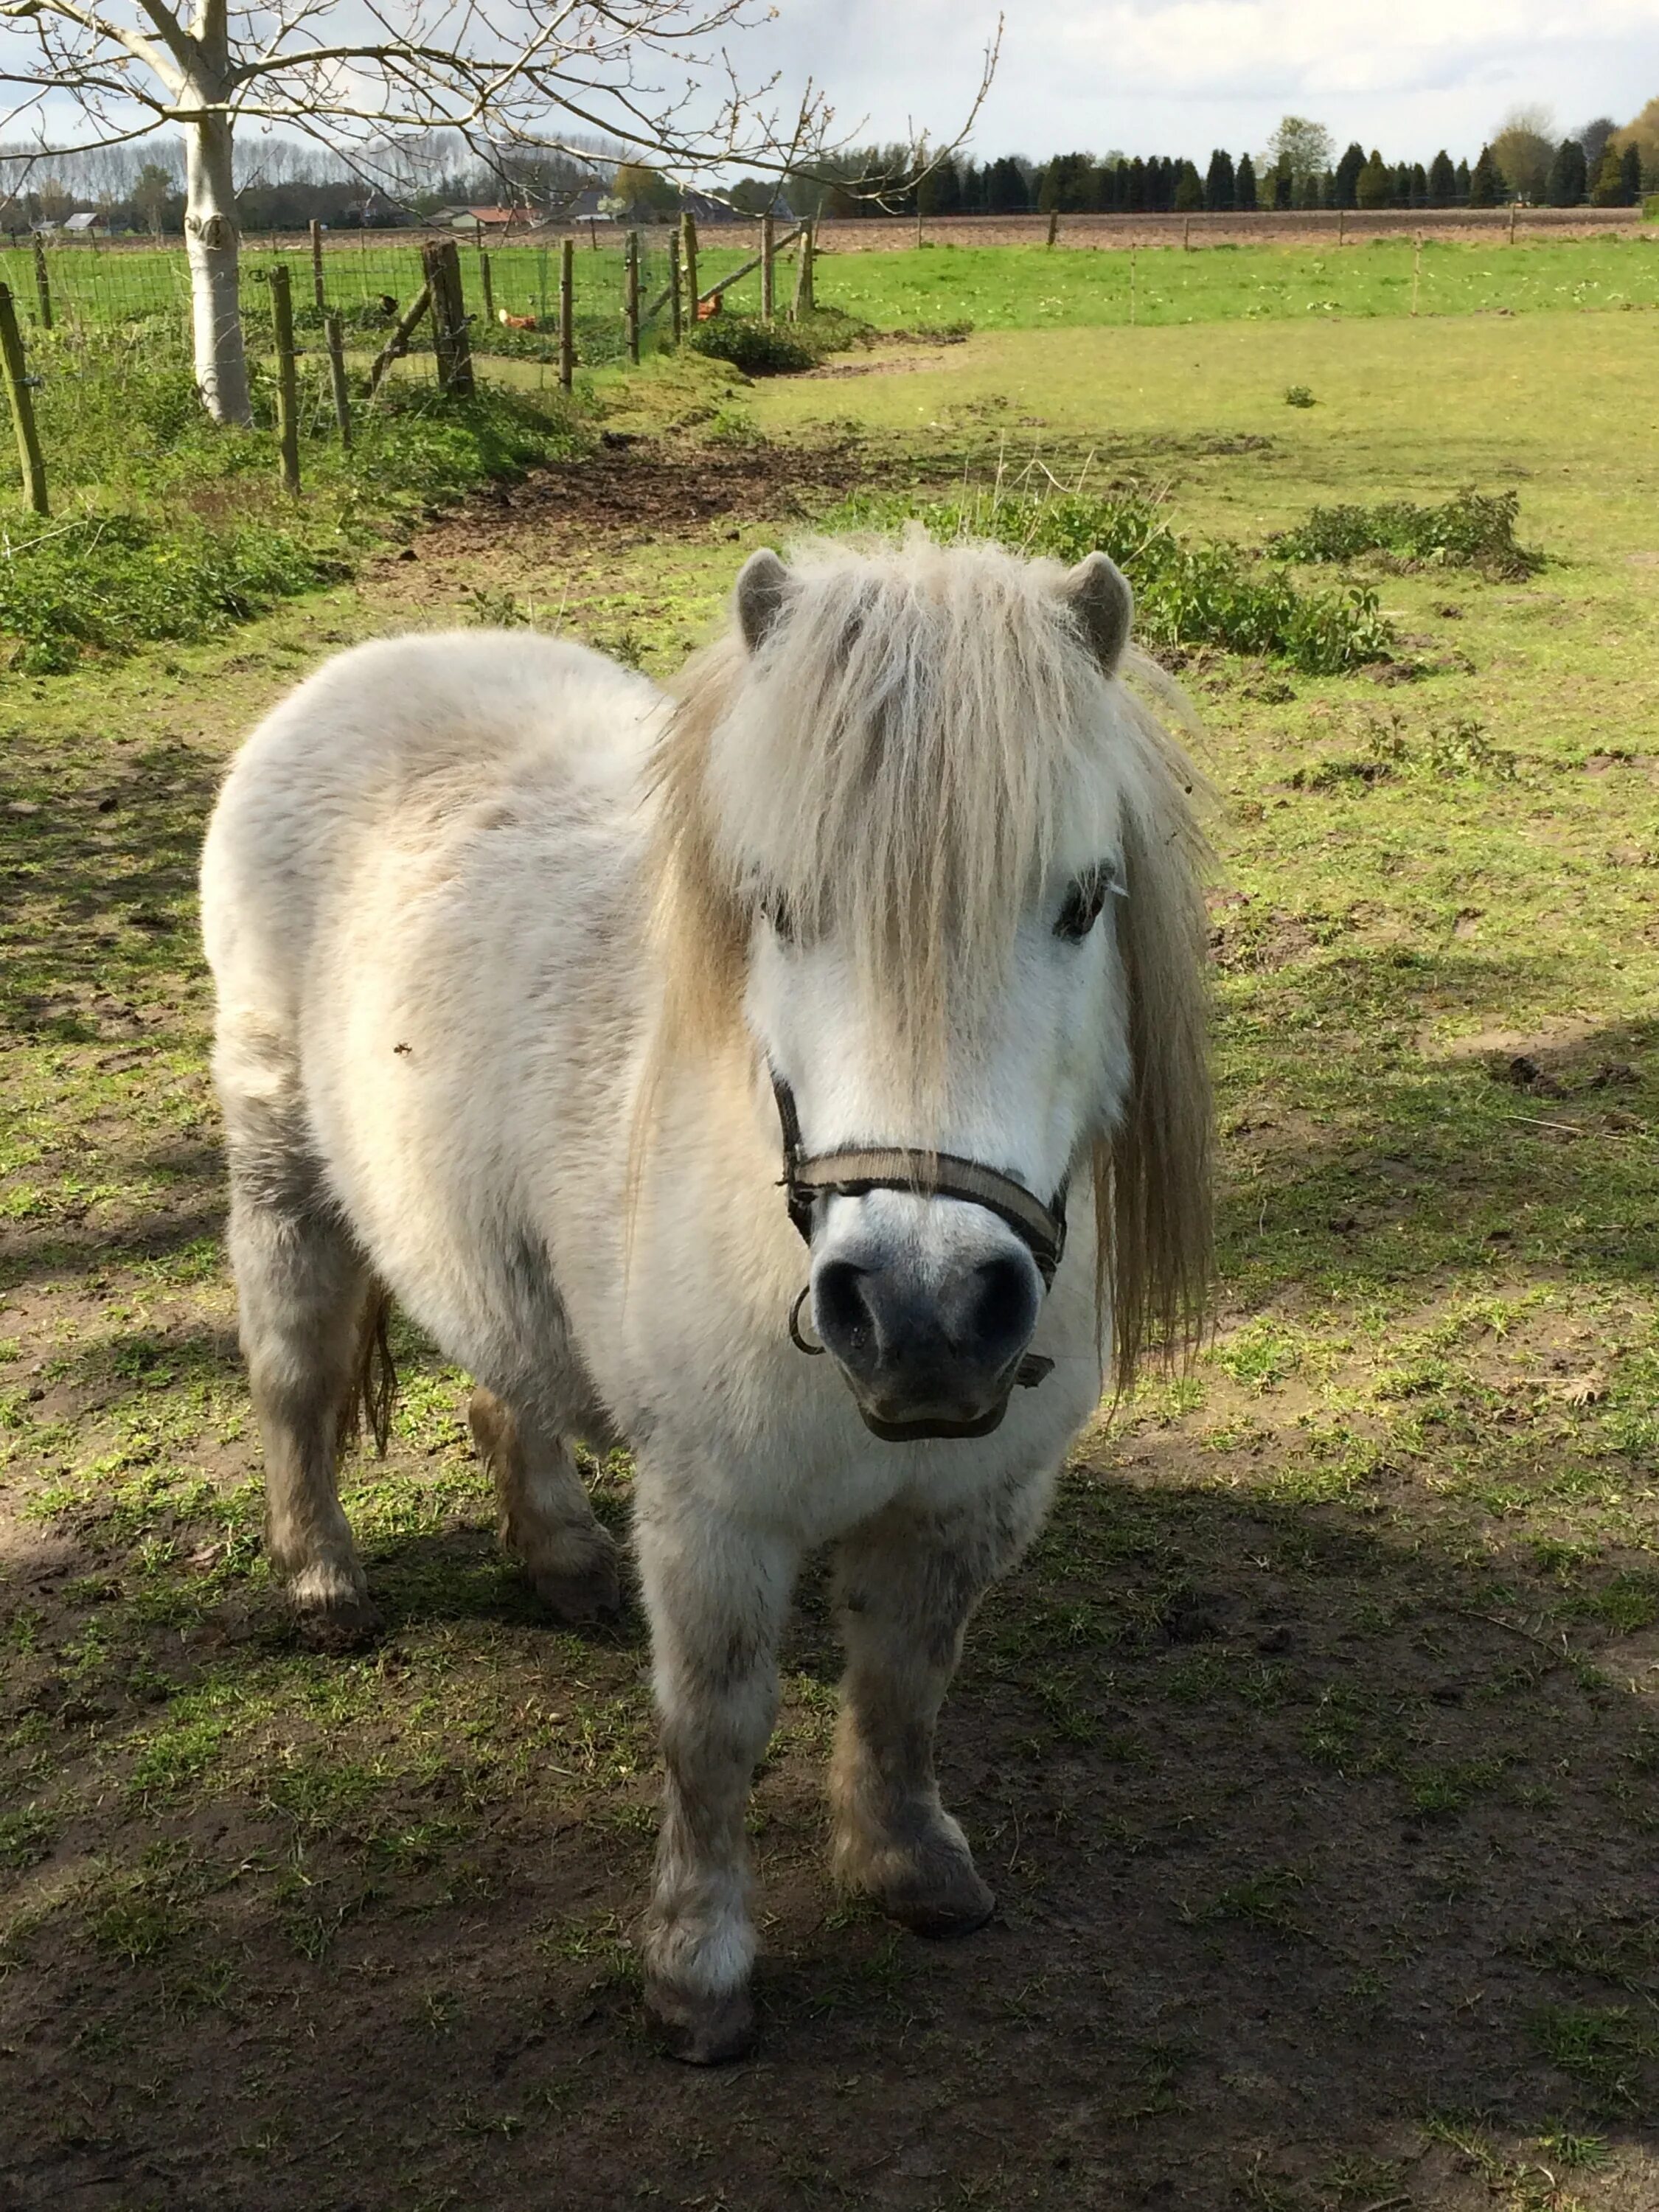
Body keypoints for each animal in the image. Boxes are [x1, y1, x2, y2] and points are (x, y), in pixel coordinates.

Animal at [201, 535, 1212, 2053]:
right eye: (778, 904)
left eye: (1083, 900)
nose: (923, 1316)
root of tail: (376, 663)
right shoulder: (717, 1516)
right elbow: (716, 1729)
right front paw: (698, 1967)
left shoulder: (969, 1505)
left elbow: (905, 1684)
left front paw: (907, 1865)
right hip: (278, 1163)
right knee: (295, 1374)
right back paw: (321, 1580)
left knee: (507, 1380)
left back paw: (561, 1556)